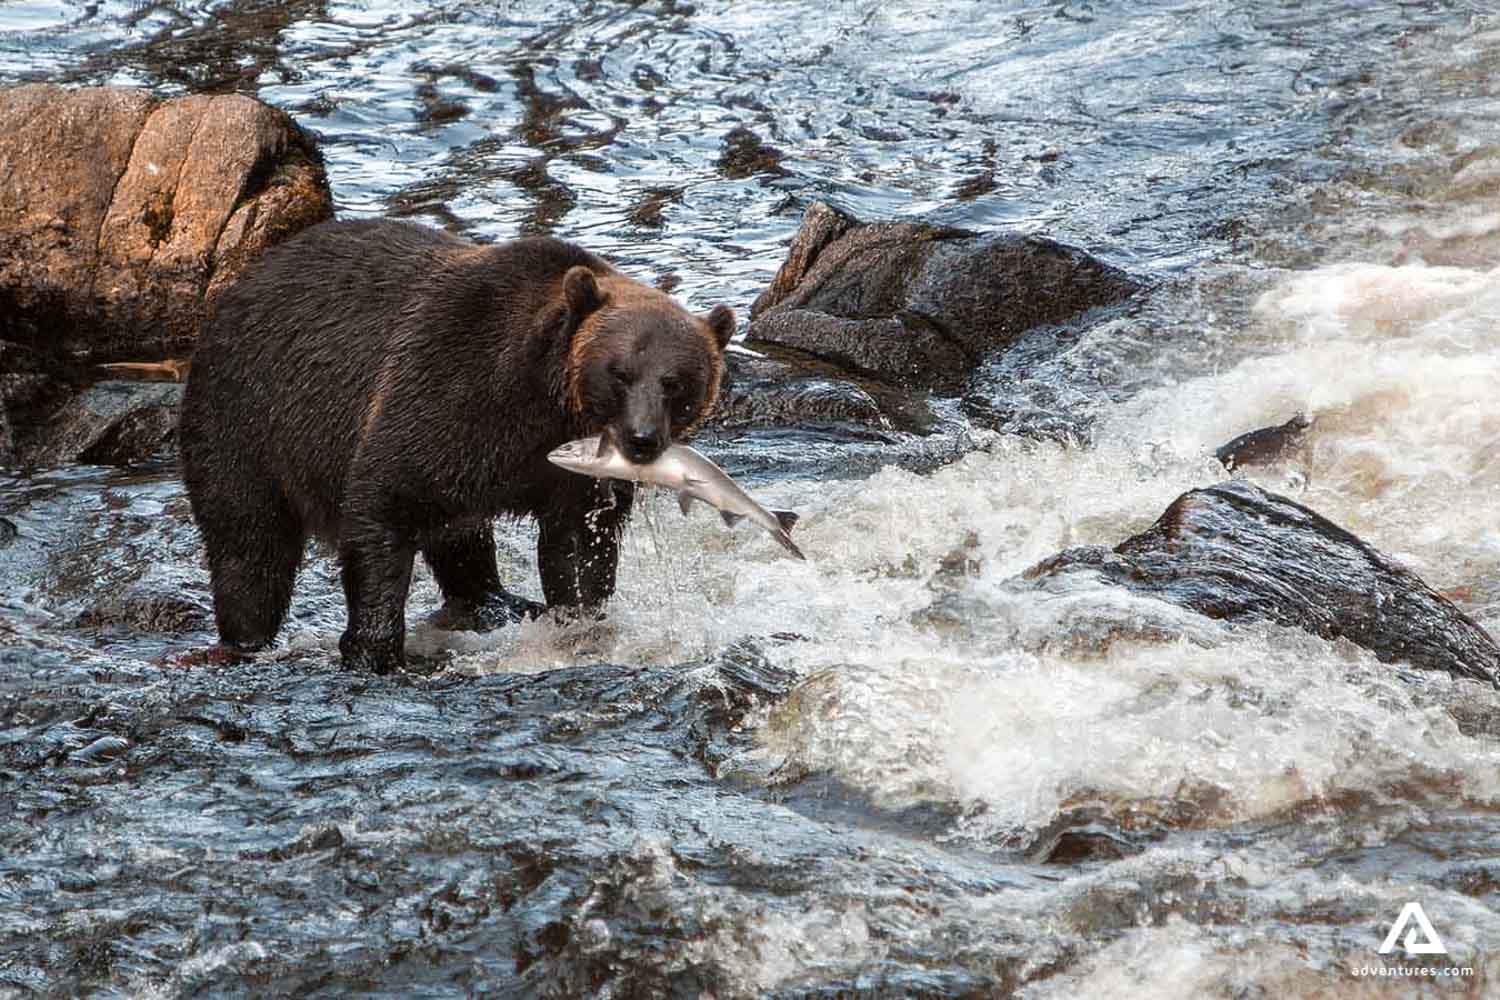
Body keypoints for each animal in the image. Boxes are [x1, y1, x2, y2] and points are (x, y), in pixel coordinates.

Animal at [179, 218, 734, 673]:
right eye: (620, 373)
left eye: (676, 383)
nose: (642, 440)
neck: (543, 403)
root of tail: (238, 287)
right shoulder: (450, 384)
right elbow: (383, 504)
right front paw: (374, 649)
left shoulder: (569, 474)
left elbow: (579, 545)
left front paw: (579, 615)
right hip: (247, 415)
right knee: (249, 537)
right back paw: (246, 636)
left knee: (460, 534)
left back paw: (497, 600)